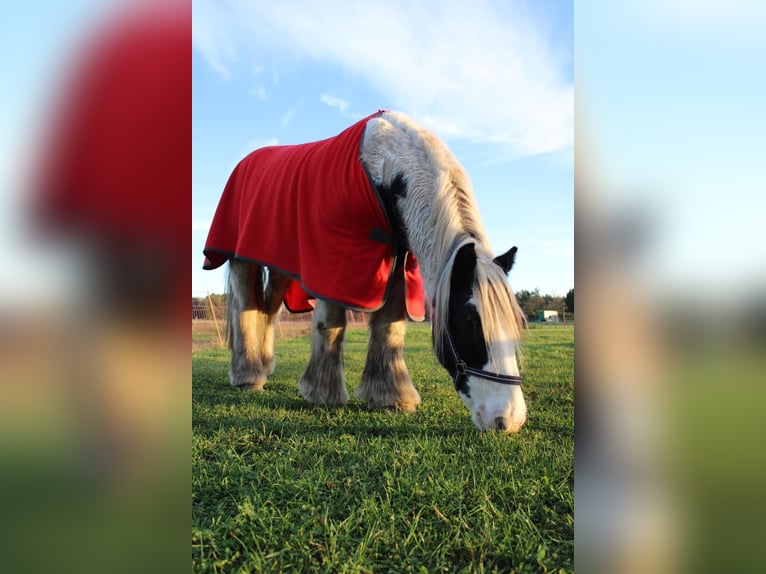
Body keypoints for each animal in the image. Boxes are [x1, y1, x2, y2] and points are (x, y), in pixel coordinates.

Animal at [204, 110, 528, 434]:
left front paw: (390, 395)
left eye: (517, 323)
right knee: (246, 307)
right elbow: (332, 324)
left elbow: (389, 327)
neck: (383, 168)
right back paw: (248, 375)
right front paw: (323, 393)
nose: (508, 419)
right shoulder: (333, 262)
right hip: (243, 260)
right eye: (470, 322)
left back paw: (265, 364)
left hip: (282, 265)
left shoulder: (400, 263)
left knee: (268, 309)